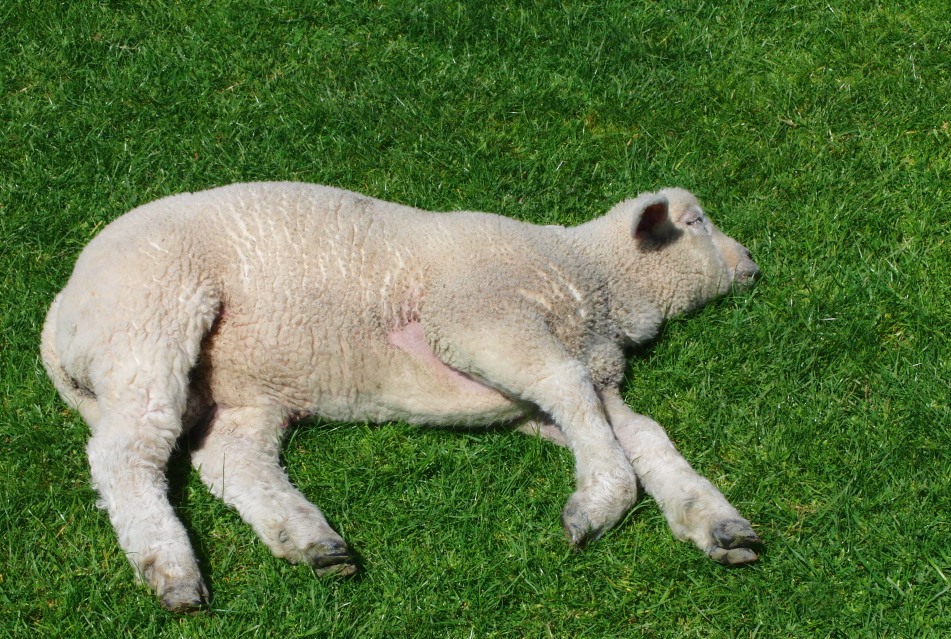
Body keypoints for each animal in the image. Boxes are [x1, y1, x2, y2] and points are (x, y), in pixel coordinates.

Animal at [41, 182, 764, 612]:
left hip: (240, 391)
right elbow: (574, 392)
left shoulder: (544, 382)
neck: (588, 279)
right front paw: (600, 503)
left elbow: (636, 430)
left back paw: (313, 542)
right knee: (126, 455)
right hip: (149, 316)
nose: (753, 265)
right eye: (696, 221)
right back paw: (170, 568)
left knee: (232, 461)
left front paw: (714, 521)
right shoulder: (482, 320)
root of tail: (60, 317)